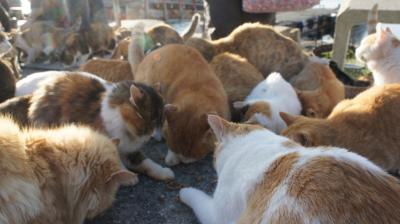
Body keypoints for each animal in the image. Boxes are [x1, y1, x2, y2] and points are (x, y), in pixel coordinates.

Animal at [14, 71, 174, 180]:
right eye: (151, 123)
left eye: (160, 123)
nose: (152, 137)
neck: (127, 130)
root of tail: (39, 92)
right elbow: (115, 159)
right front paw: (127, 177)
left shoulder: (131, 150)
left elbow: (146, 162)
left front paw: (163, 172)